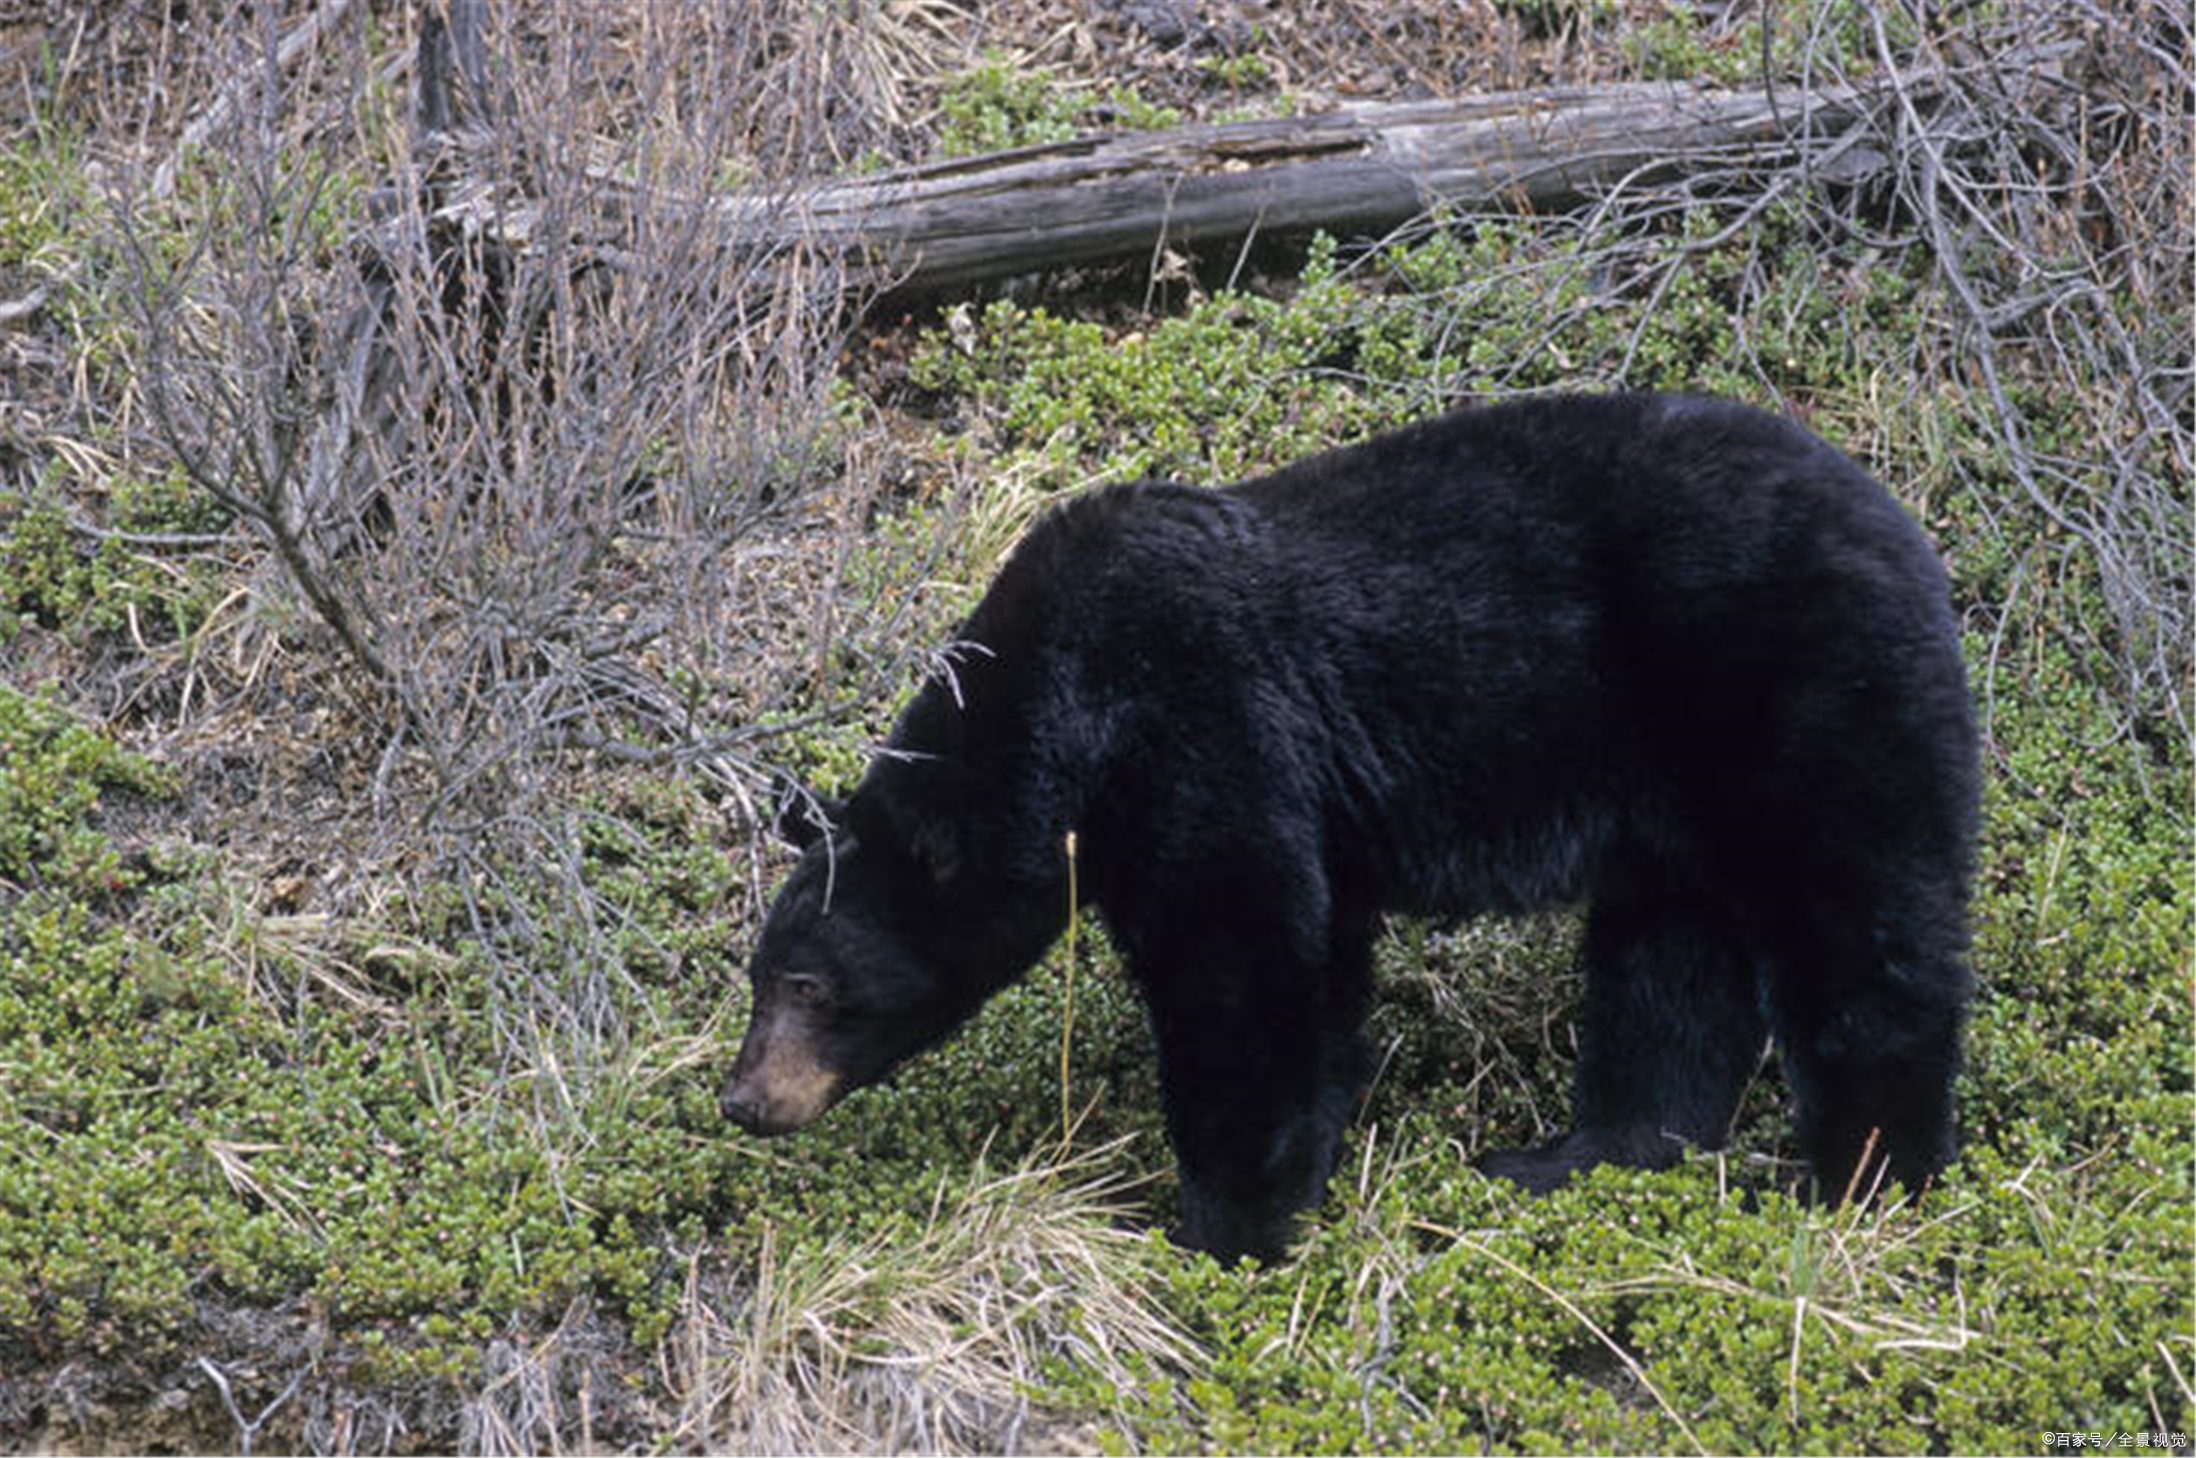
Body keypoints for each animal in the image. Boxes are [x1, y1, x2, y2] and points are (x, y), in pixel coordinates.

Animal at [720, 393, 1976, 1255]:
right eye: (760, 975)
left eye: (808, 987)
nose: (742, 1098)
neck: (1062, 703)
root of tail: (1902, 524)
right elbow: (1316, 970)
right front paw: (1295, 1186)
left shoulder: (1199, 722)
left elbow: (1238, 963)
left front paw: (1216, 1230)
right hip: (1683, 796)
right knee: (1669, 967)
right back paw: (1575, 1158)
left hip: (1794, 684)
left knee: (1860, 926)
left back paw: (1862, 1179)